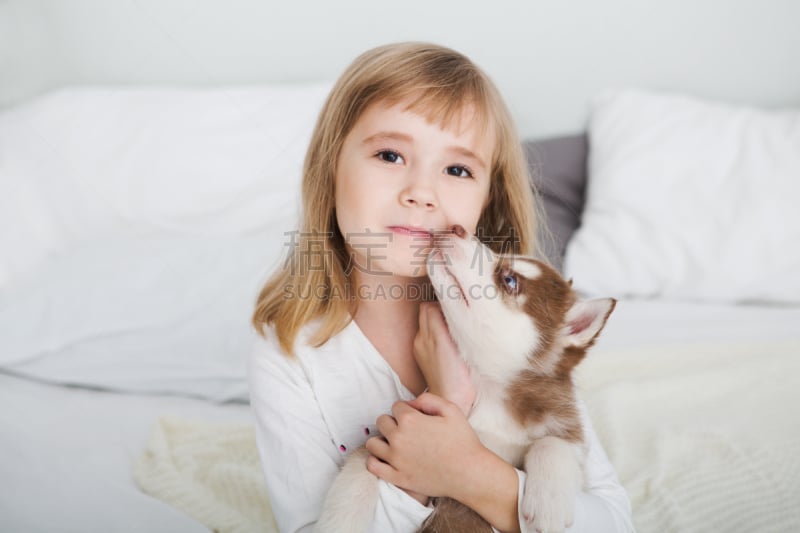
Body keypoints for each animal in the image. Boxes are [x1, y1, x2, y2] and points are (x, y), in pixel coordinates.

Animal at [316, 225, 616, 532]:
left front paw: (549, 504)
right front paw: (339, 523)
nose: (456, 228)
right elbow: (358, 470)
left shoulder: (564, 427)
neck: (488, 390)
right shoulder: (388, 435)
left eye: (509, 280)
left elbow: (554, 444)